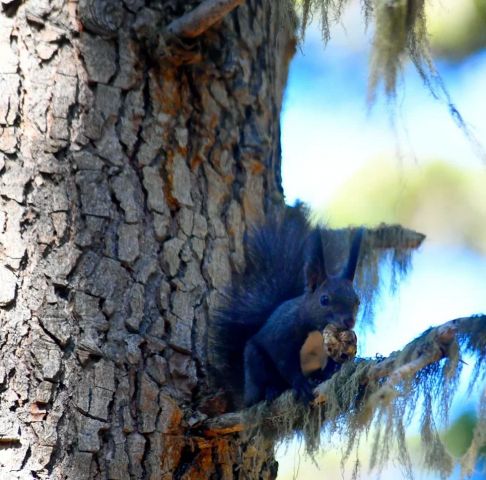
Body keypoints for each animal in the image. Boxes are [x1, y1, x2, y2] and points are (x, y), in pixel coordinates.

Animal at [211, 207, 362, 408]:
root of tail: (245, 393)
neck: (316, 330)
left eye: (357, 301)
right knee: (262, 383)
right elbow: (285, 363)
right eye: (324, 300)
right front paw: (300, 384)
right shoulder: (282, 337)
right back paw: (270, 390)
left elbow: (331, 362)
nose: (349, 321)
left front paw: (330, 372)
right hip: (255, 361)